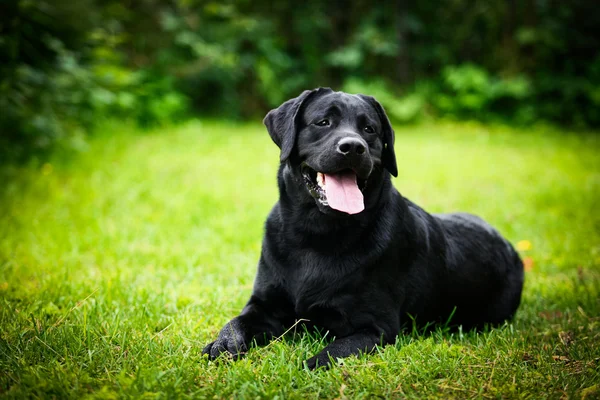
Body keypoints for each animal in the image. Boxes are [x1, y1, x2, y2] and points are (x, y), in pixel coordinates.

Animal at [200, 87, 520, 368]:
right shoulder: (264, 305)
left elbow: (330, 354)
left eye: (370, 130)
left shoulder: (375, 326)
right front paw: (223, 345)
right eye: (323, 122)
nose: (353, 147)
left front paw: (306, 366)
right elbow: (236, 322)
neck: (316, 235)